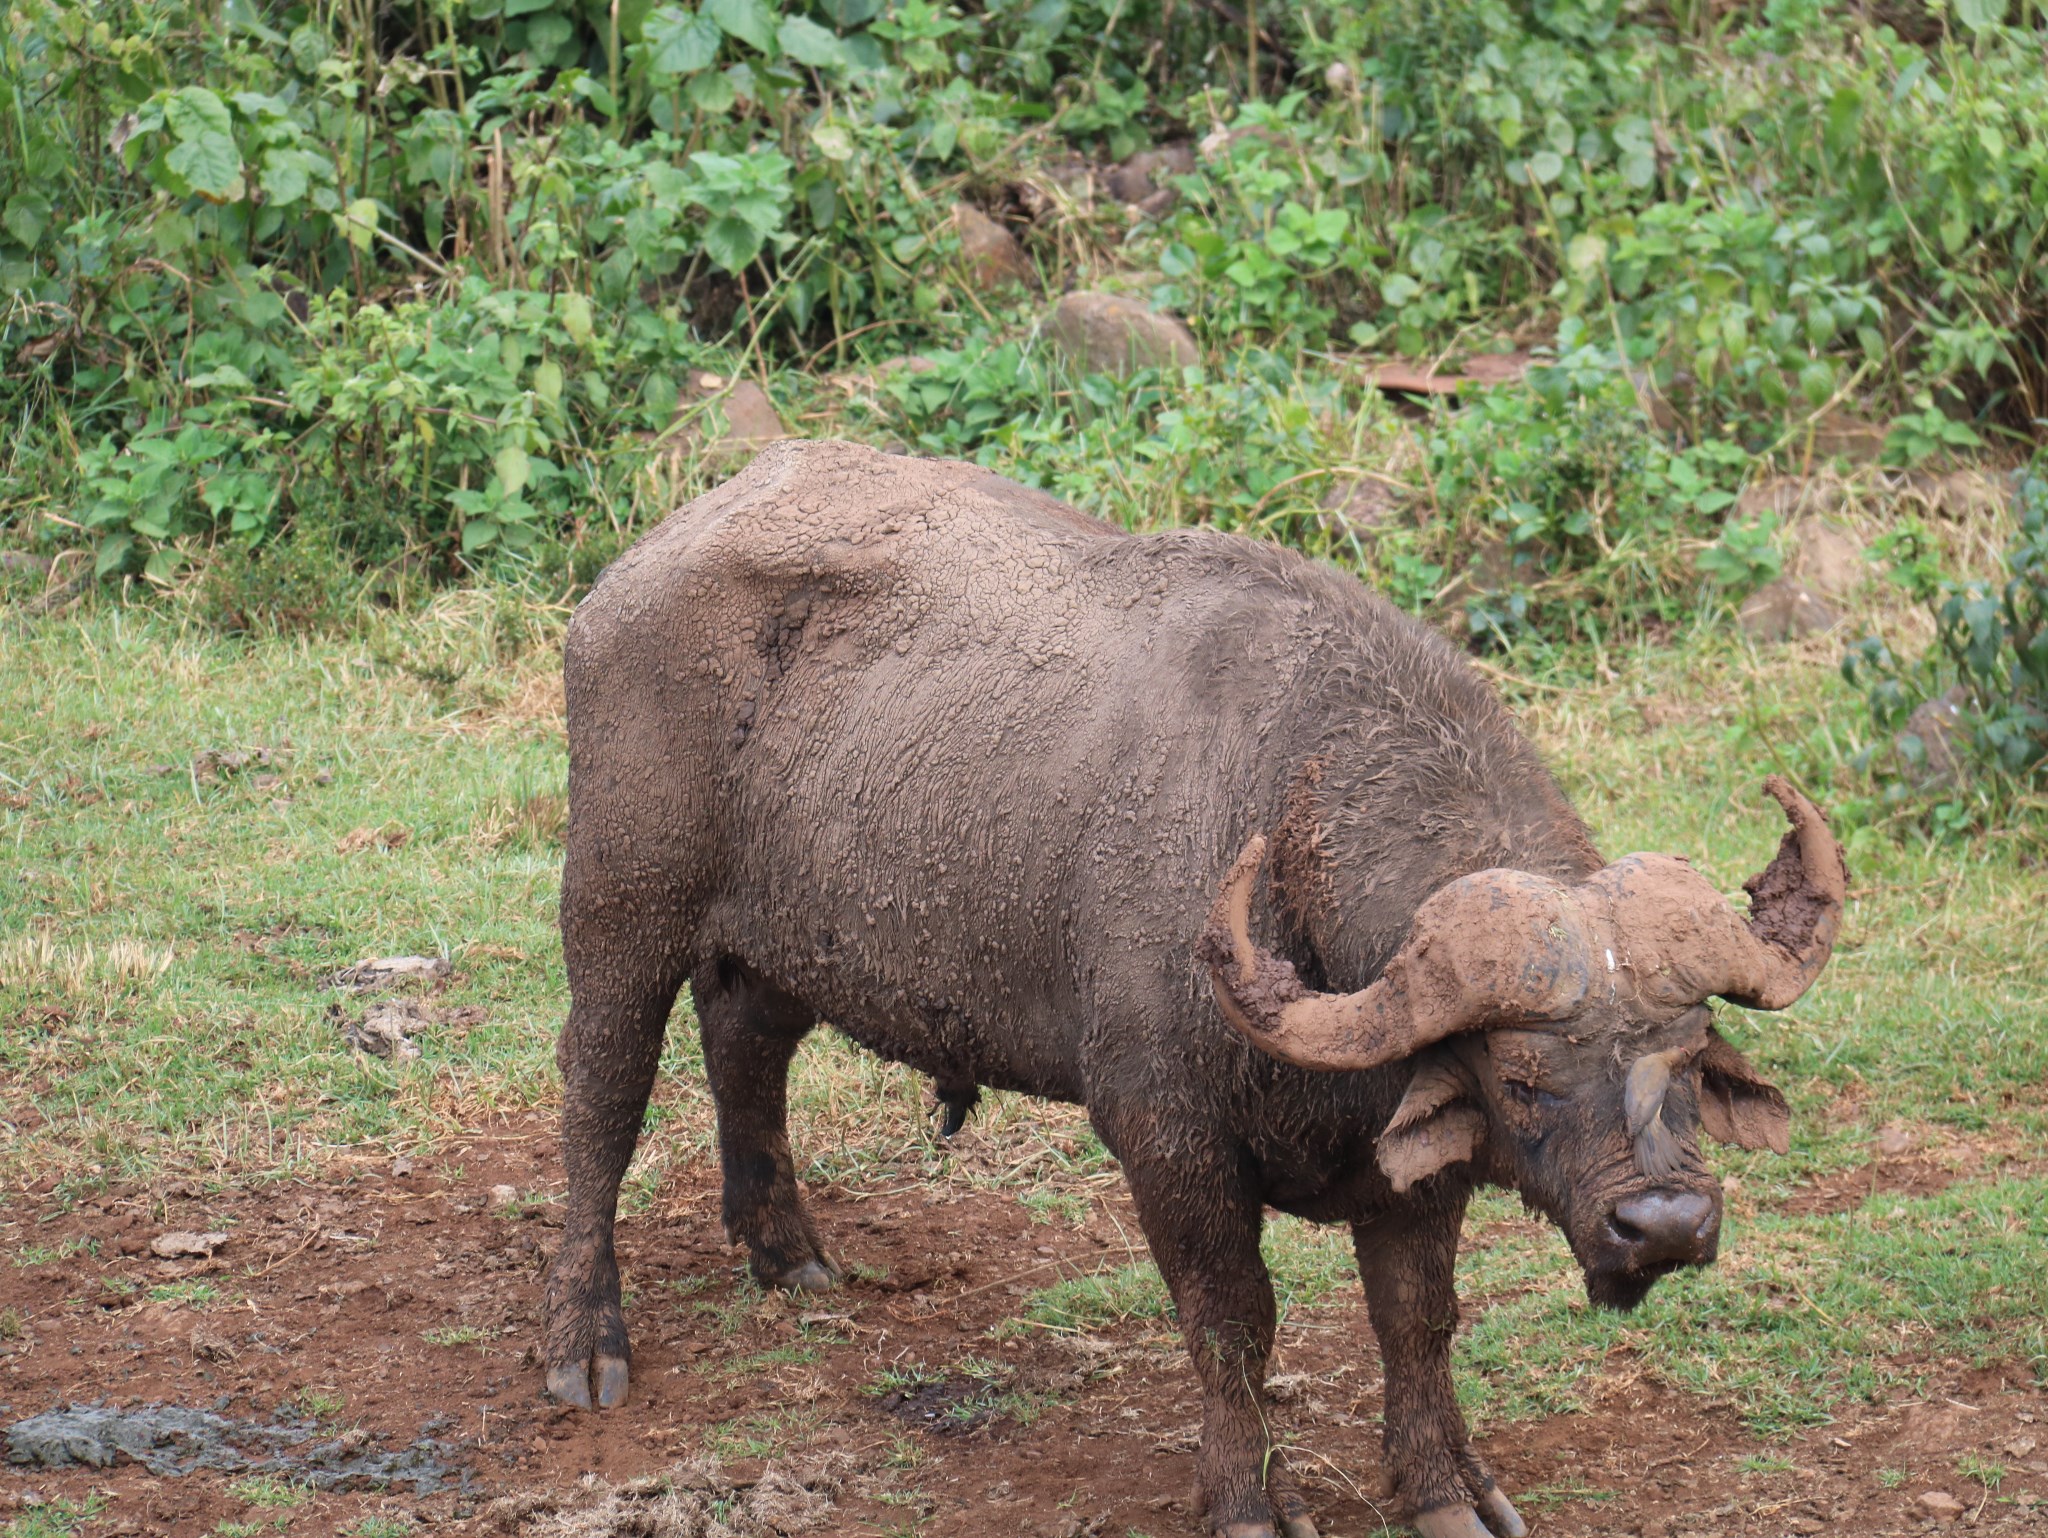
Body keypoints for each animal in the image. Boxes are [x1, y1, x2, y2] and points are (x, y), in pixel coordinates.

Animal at [540, 442, 1843, 1538]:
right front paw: (1247, 1499)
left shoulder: (1408, 1163)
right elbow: (1232, 1321)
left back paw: (787, 1251)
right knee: (600, 1097)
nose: (1661, 1223)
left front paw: (1443, 1489)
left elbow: (1415, 1318)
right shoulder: (1165, 1137)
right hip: (616, 903)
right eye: (1522, 1076)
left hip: (783, 937)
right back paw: (585, 1340)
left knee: (744, 1041)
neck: (1282, 834)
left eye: (1687, 1054)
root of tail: (631, 572)